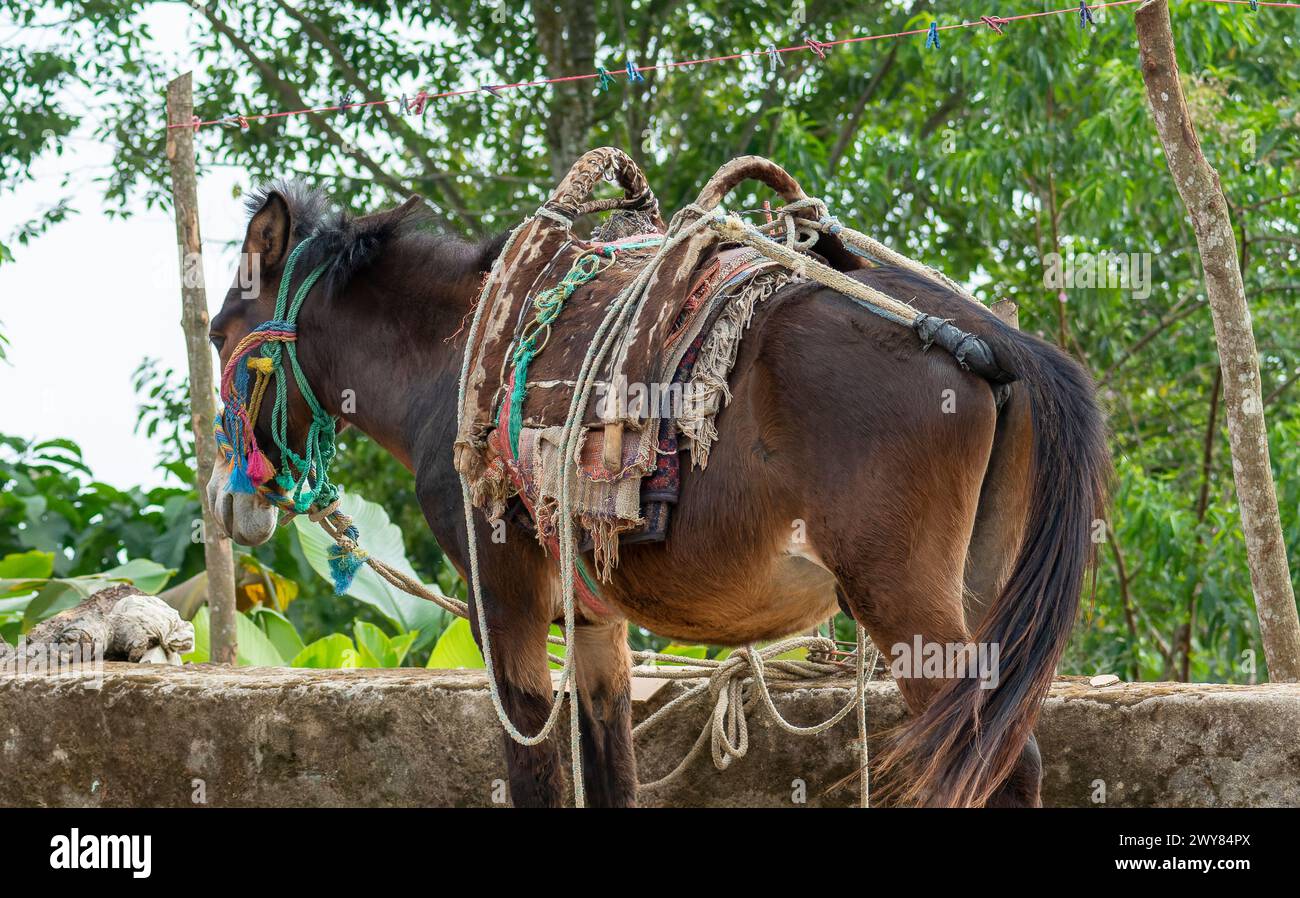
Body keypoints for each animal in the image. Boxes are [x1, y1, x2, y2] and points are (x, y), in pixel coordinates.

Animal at [206, 178, 1109, 808]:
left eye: (217, 335)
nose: (225, 500)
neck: (458, 350)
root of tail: (989, 336)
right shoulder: (593, 622)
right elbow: (610, 771)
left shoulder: (505, 600)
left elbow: (535, 771)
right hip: (980, 590)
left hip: (902, 599)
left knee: (999, 762)